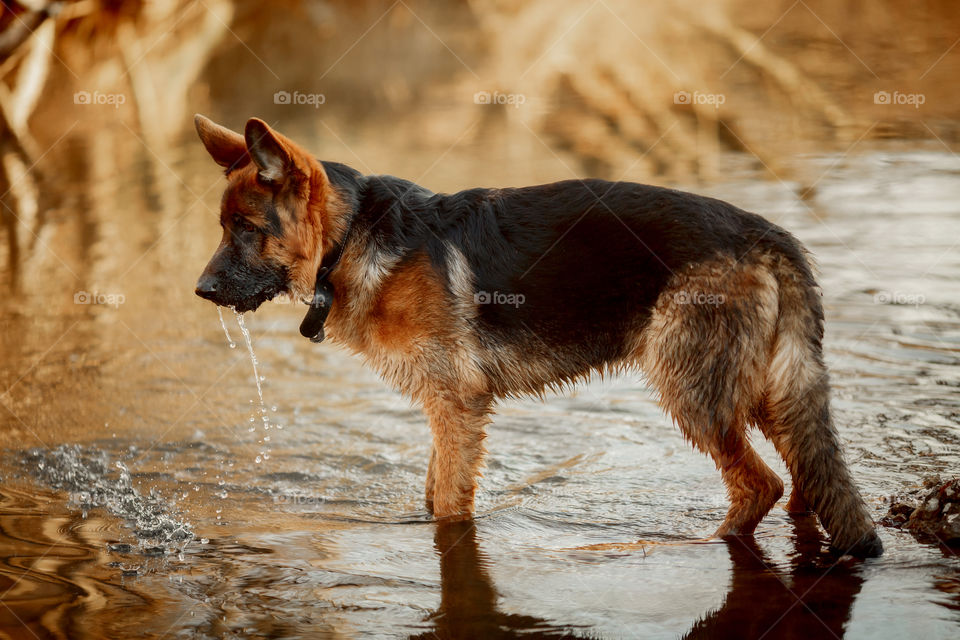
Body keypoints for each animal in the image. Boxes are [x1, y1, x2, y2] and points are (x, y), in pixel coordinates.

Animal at [193, 117, 884, 556]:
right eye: (224, 227)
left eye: (247, 229)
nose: (201, 290)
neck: (350, 237)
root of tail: (766, 232)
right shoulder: (446, 410)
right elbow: (432, 489)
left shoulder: (458, 406)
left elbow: (449, 505)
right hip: (765, 392)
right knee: (805, 479)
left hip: (695, 394)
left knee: (760, 484)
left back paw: (687, 545)